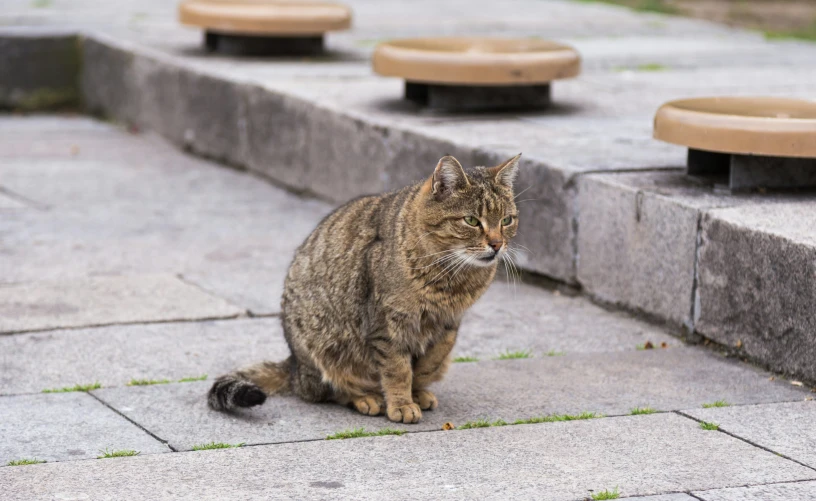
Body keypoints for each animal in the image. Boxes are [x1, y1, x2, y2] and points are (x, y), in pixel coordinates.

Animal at [207, 152, 520, 422]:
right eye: (471, 220)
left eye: (507, 220)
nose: (497, 244)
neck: (452, 278)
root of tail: (295, 364)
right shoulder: (386, 324)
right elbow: (397, 369)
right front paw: (402, 403)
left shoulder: (448, 324)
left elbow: (428, 362)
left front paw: (417, 392)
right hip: (326, 347)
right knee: (326, 391)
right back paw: (365, 398)